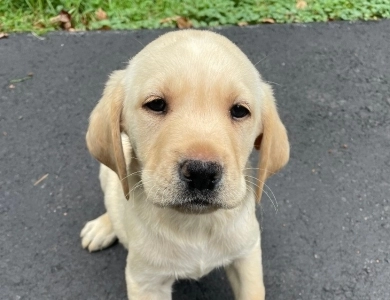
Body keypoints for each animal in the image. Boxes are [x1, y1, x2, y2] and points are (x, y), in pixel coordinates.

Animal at [80, 29, 288, 300]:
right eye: (156, 104)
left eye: (240, 111)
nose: (202, 173)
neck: (195, 226)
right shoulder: (146, 282)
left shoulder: (248, 256)